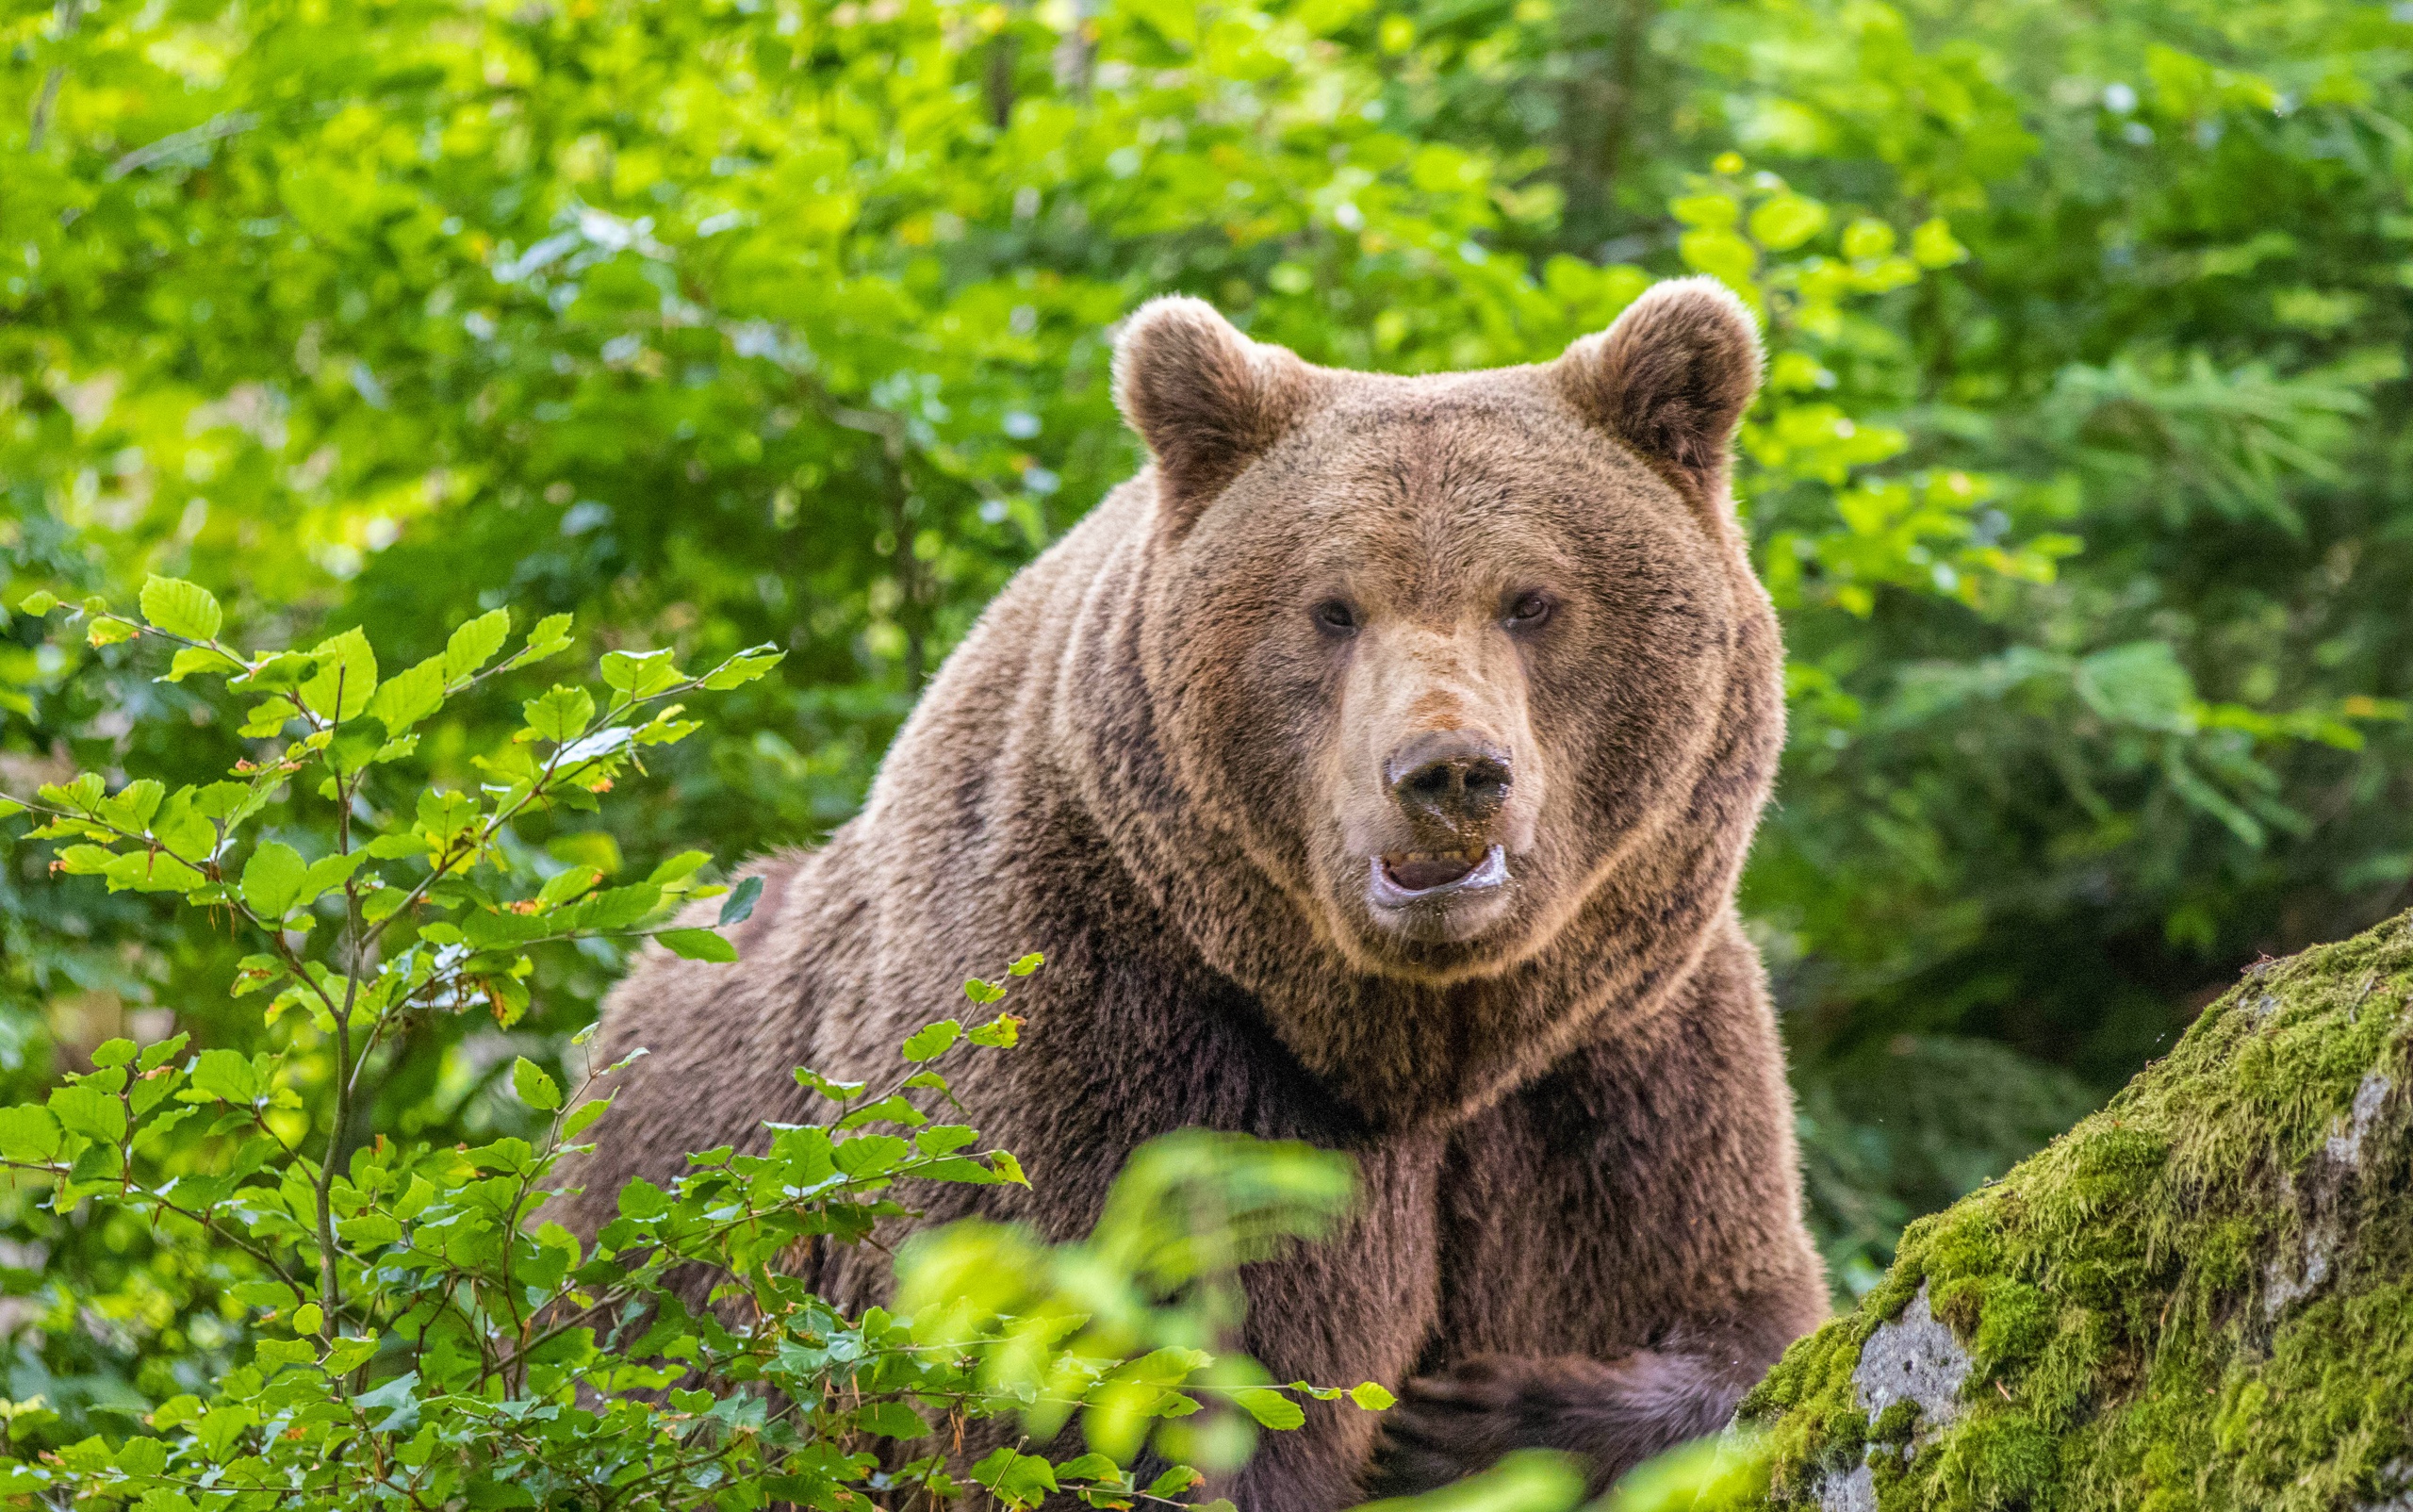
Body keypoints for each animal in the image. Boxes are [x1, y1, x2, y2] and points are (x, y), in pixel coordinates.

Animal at [552, 281, 1824, 1504]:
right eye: (1331, 605)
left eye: (1530, 598)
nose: (1449, 773)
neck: (1410, 1039)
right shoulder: (1116, 1031)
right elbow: (1108, 1401)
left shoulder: (1618, 1059)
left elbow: (1738, 1314)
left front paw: (1476, 1418)